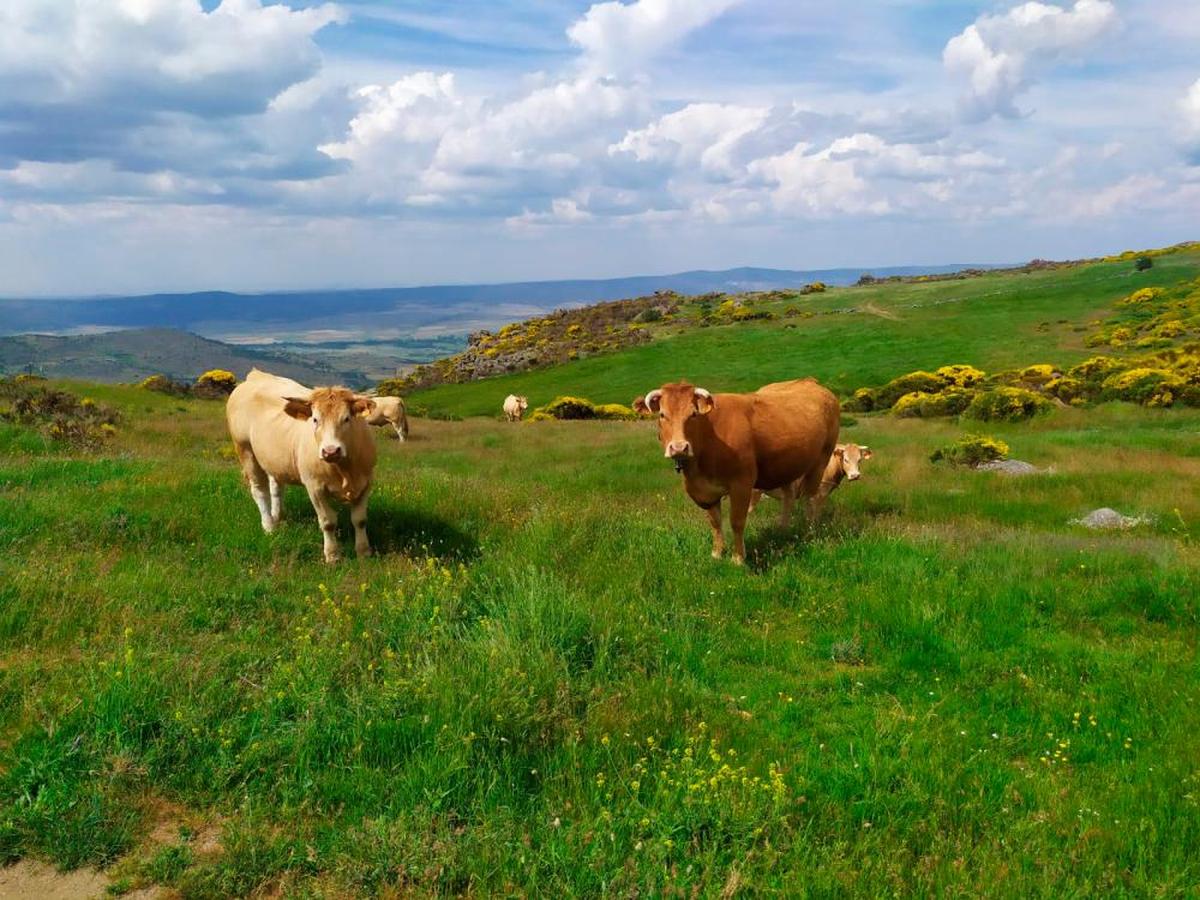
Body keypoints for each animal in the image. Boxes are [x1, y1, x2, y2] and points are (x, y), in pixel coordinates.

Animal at [225, 367, 374, 564]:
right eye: (315, 420)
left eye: (347, 418)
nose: (330, 451)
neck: (344, 470)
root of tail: (257, 375)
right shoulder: (314, 486)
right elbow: (328, 522)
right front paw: (332, 555)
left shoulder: (366, 482)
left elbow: (360, 520)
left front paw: (364, 552)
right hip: (245, 449)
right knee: (259, 490)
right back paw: (269, 526)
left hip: (274, 459)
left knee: (276, 488)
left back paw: (277, 516)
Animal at [633, 379, 840, 564]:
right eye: (662, 415)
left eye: (693, 414)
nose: (678, 447)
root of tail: (811, 382)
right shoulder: (705, 492)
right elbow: (715, 522)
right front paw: (717, 553)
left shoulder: (742, 483)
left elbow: (737, 521)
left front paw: (738, 558)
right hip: (787, 465)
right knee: (789, 497)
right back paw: (783, 529)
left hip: (821, 459)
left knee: (810, 498)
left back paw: (808, 531)